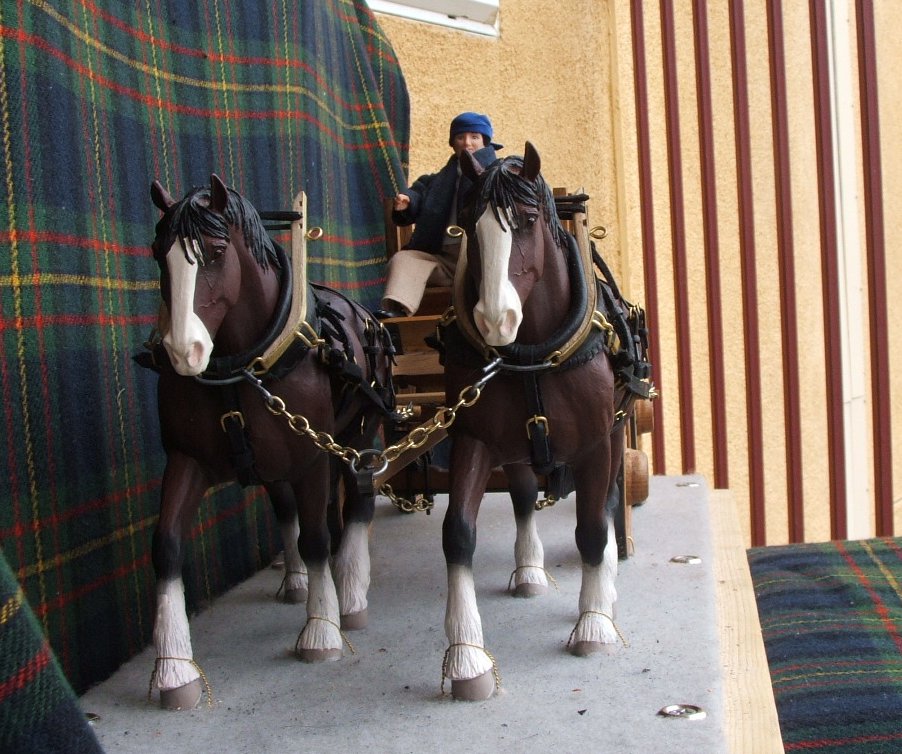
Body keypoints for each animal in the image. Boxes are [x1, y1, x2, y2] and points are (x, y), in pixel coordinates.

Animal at [144, 173, 392, 708]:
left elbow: (318, 537)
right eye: (157, 252)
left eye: (216, 252)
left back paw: (350, 589)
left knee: (356, 504)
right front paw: (174, 667)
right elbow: (167, 544)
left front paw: (322, 629)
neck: (240, 366)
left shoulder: (312, 458)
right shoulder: (185, 458)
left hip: (360, 433)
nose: (183, 350)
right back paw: (298, 579)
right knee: (285, 507)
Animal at [436, 142, 648, 700]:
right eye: (467, 225)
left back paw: (607, 581)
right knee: (525, 494)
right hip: (516, 444)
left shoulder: (597, 442)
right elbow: (458, 532)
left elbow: (592, 527)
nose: (494, 320)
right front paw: (467, 656)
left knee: (608, 501)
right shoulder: (474, 437)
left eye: (528, 221)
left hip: (615, 430)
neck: (531, 353)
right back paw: (529, 568)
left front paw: (594, 622)